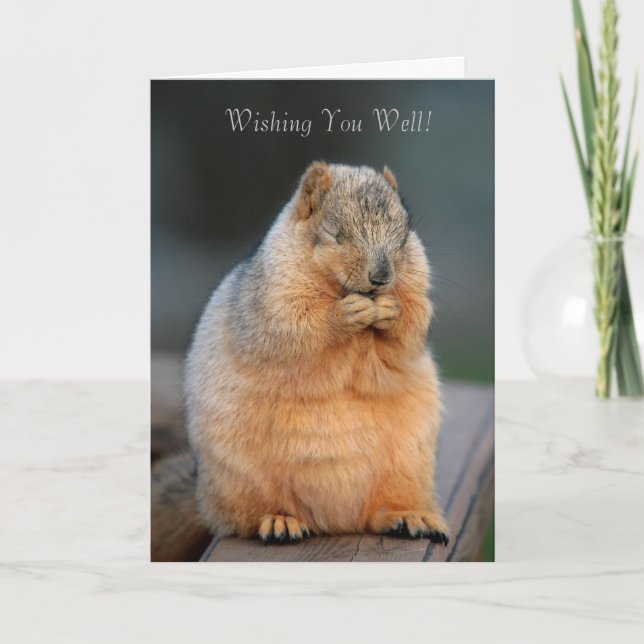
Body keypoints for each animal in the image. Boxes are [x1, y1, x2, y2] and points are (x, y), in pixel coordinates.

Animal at [151, 162, 448, 559]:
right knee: (247, 518)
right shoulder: (273, 295)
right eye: (334, 233)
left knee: (379, 511)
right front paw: (343, 315)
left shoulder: (416, 284)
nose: (381, 277)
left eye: (404, 235)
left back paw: (407, 516)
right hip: (243, 477)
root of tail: (336, 521)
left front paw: (391, 311)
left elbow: (411, 329)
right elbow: (295, 328)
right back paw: (280, 521)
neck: (339, 287)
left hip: (408, 464)